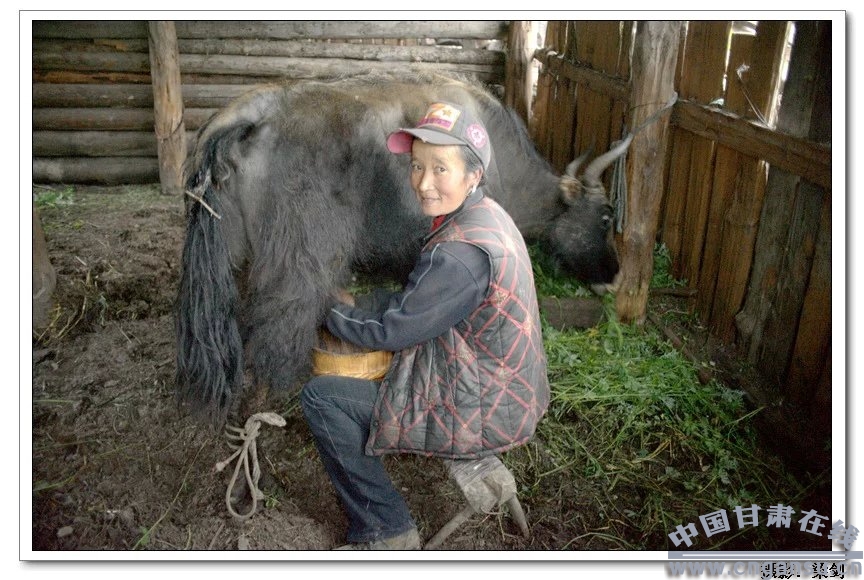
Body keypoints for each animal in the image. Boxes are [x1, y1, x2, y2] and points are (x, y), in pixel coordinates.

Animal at [175, 71, 626, 423]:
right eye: (606, 216)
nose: (615, 276)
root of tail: (250, 118)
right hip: (299, 261)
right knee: (281, 324)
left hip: (231, 259)